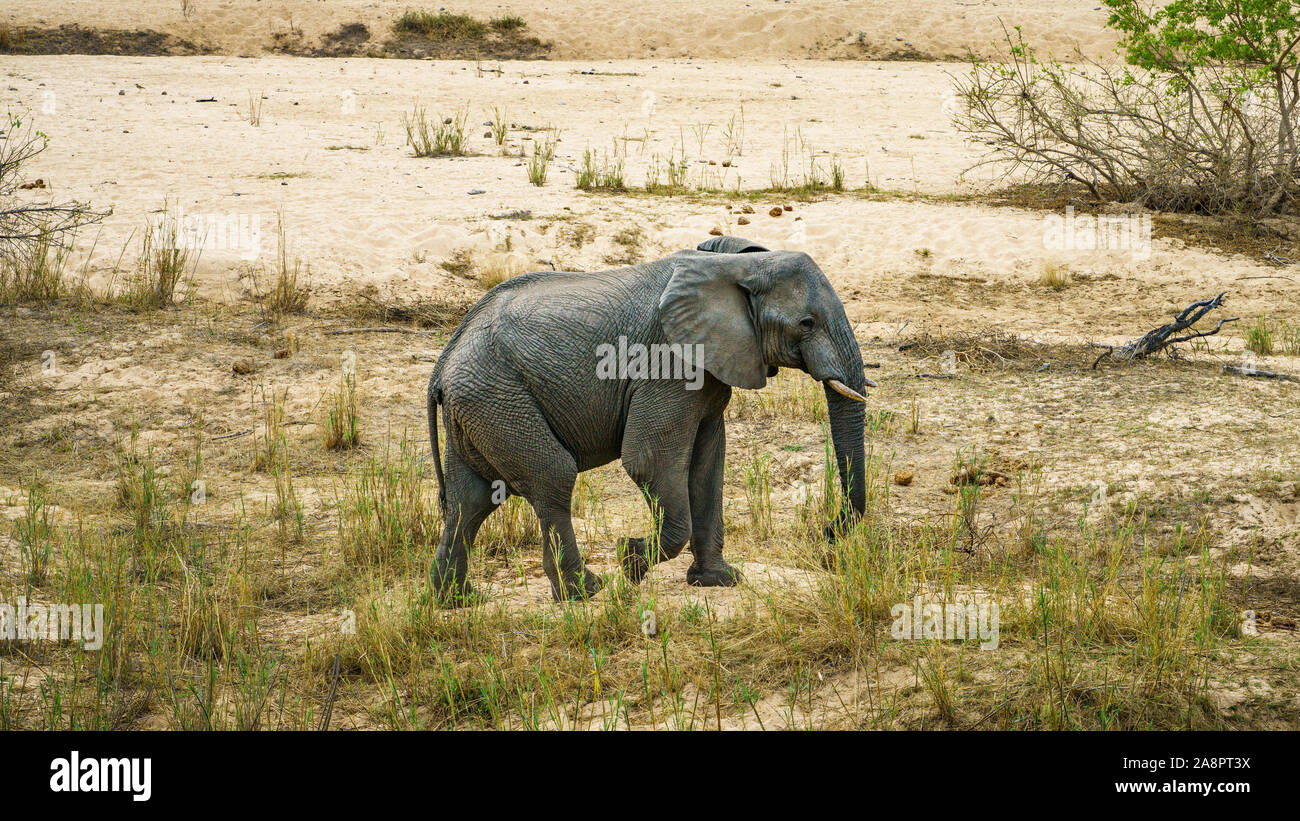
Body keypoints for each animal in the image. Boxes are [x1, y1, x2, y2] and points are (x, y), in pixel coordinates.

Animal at [426, 235, 873, 602]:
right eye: (806, 323)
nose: (827, 532)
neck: (736, 265)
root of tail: (443, 364)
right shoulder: (668, 363)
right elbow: (648, 461)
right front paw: (630, 560)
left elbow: (707, 465)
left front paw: (719, 580)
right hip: (497, 396)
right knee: (551, 476)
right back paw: (585, 592)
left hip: (480, 407)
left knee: (471, 499)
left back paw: (459, 600)